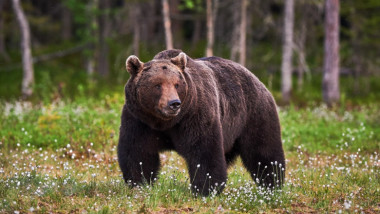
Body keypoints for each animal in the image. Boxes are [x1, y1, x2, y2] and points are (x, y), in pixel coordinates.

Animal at [118, 49, 284, 196]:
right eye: (157, 85)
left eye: (177, 84)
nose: (174, 103)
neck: (165, 122)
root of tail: (257, 79)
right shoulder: (140, 119)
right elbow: (137, 151)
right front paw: (139, 182)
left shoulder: (194, 114)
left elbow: (203, 150)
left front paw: (205, 188)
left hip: (254, 114)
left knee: (263, 151)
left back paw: (273, 184)